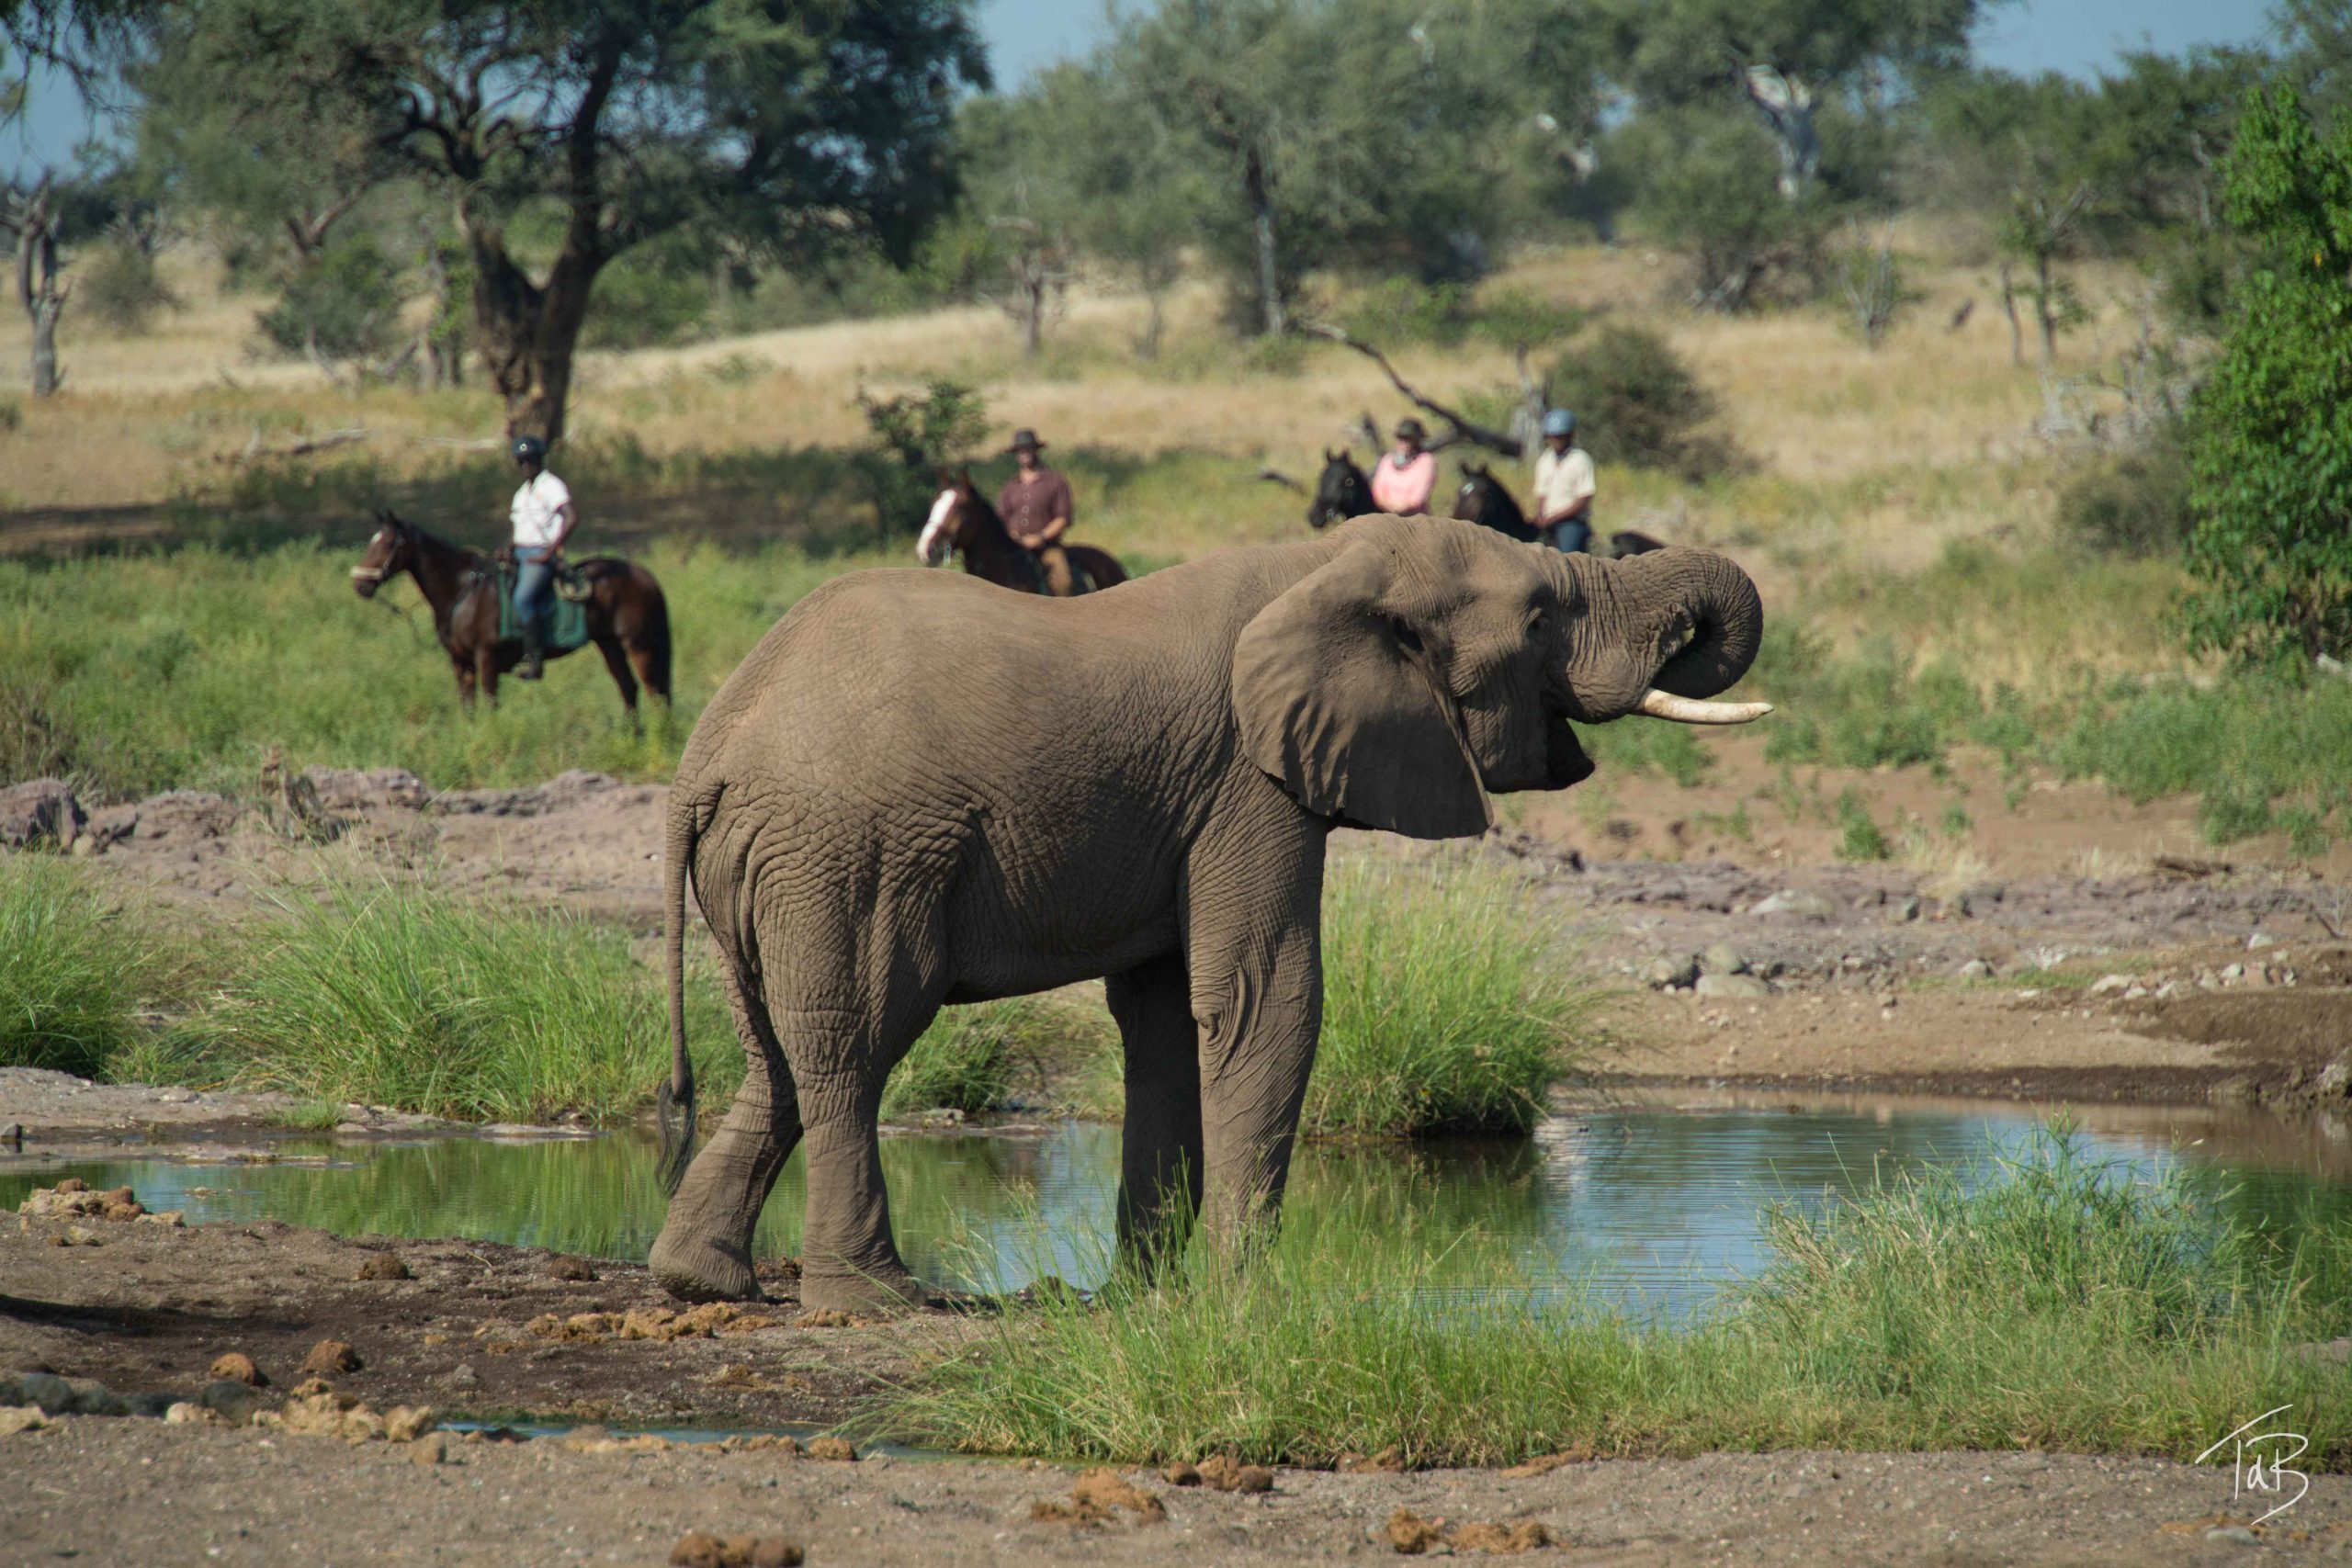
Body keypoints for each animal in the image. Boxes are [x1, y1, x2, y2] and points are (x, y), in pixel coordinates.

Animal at [349, 509, 673, 716]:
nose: (360, 583)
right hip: (610, 645)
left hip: (639, 645)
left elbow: (490, 705)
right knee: (629, 689)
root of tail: (643, 575)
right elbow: (468, 709)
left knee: (655, 693)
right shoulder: (461, 663)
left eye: (387, 542)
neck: (463, 592)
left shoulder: (486, 659)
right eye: (373, 541)